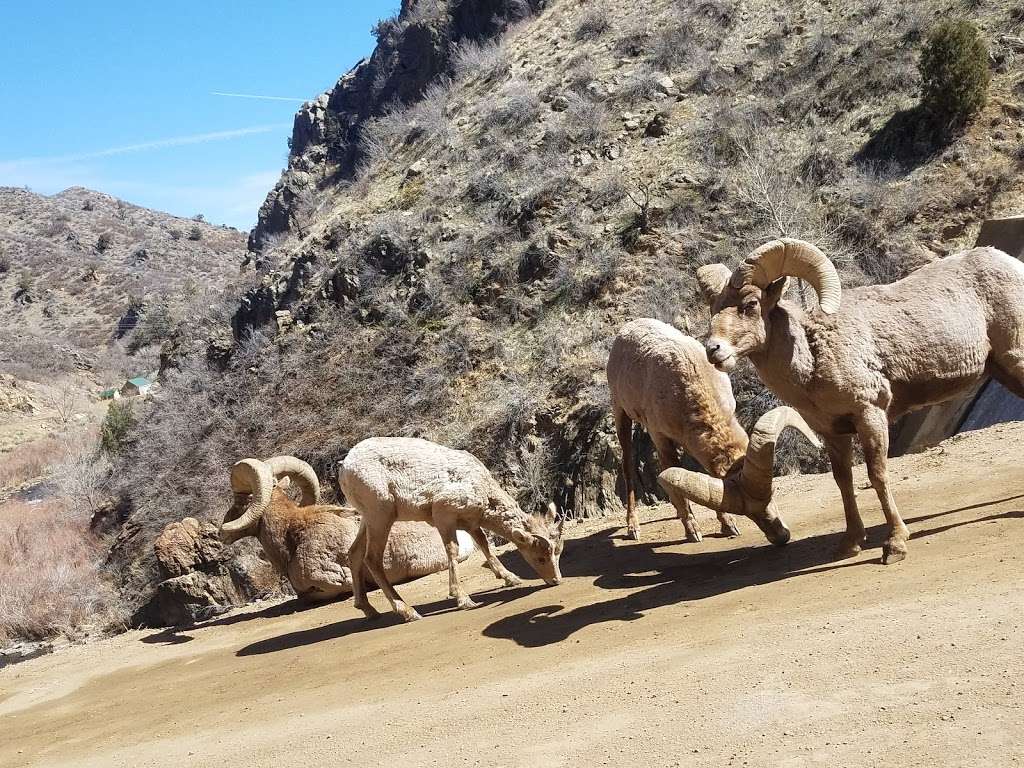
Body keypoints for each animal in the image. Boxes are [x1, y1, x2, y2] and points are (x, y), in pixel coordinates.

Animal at [339, 438, 565, 626]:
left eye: (557, 553)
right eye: (540, 558)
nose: (556, 581)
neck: (483, 489)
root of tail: (345, 467)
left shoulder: (471, 523)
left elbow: (483, 543)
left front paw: (511, 578)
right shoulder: (443, 516)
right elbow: (453, 550)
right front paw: (464, 599)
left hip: (368, 519)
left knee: (354, 553)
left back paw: (369, 610)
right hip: (381, 516)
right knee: (372, 559)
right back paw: (408, 612)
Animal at [606, 321, 745, 544]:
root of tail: (626, 329)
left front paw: (728, 525)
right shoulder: (662, 439)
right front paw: (693, 532)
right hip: (621, 414)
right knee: (628, 467)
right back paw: (633, 528)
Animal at [700, 240, 1024, 565]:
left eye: (751, 304)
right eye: (714, 310)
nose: (712, 350)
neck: (812, 358)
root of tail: (1011, 264)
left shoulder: (870, 416)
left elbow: (877, 476)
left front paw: (895, 545)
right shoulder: (833, 432)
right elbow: (843, 482)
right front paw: (850, 544)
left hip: (1016, 360)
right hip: (1004, 370)